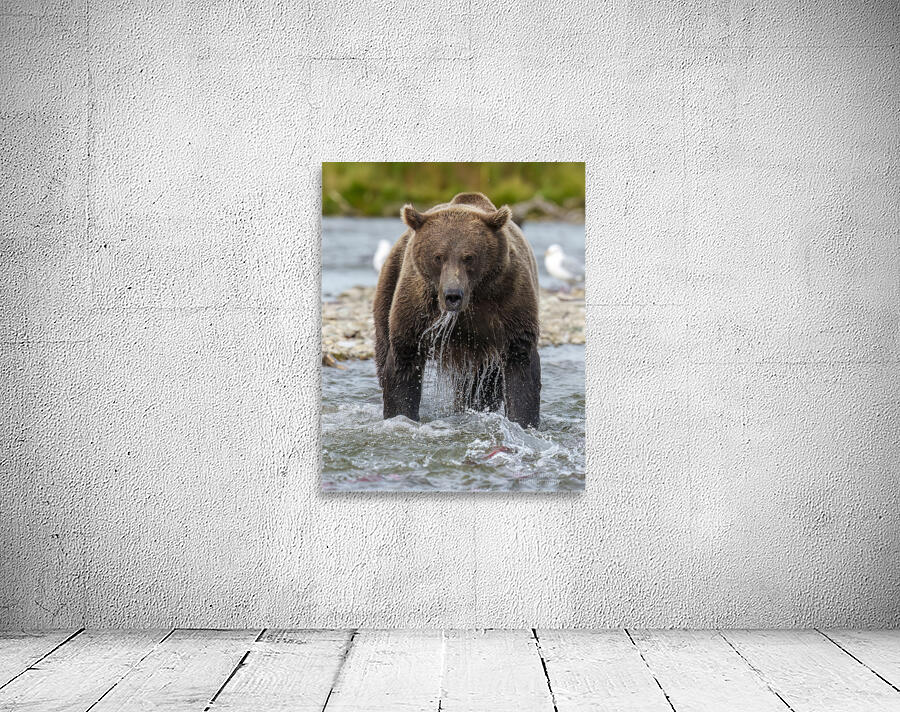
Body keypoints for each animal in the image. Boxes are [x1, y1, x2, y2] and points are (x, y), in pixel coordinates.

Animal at [374, 192, 541, 427]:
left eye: (469, 257)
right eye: (438, 256)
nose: (452, 295)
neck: (474, 298)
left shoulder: (509, 300)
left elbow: (520, 365)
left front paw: (523, 422)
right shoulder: (416, 307)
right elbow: (403, 361)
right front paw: (400, 416)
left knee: (482, 384)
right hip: (390, 281)